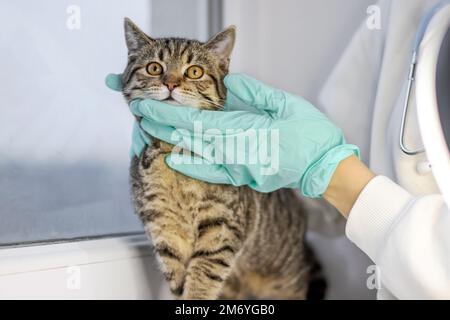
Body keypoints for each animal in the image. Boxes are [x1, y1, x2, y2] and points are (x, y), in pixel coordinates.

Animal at [120, 18, 324, 300]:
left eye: (194, 71)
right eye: (154, 68)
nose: (170, 83)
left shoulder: (222, 224)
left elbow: (204, 274)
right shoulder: (162, 227)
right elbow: (176, 277)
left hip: (285, 281)